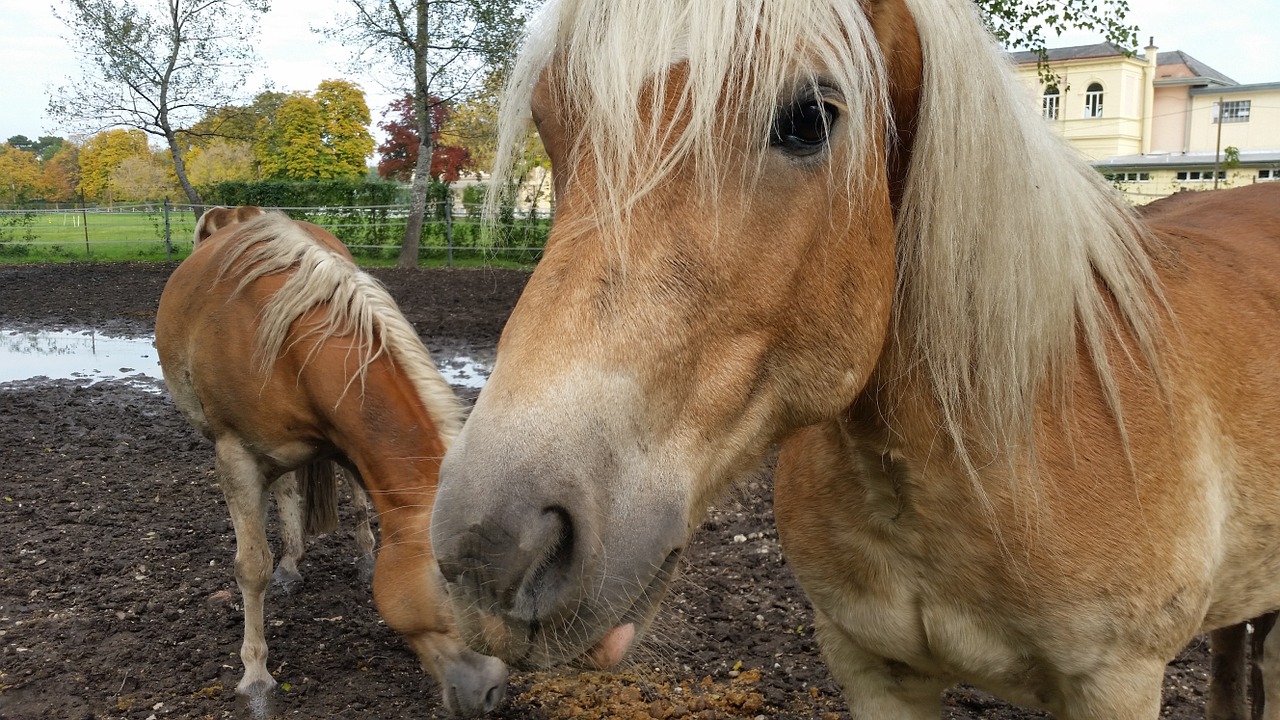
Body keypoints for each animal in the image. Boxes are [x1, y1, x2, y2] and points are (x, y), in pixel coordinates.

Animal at [154, 206, 504, 712]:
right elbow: (251, 567)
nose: (493, 693)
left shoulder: (348, 444)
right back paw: (289, 564)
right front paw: (255, 675)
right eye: (445, 582)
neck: (286, 343)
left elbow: (361, 503)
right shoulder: (236, 457)